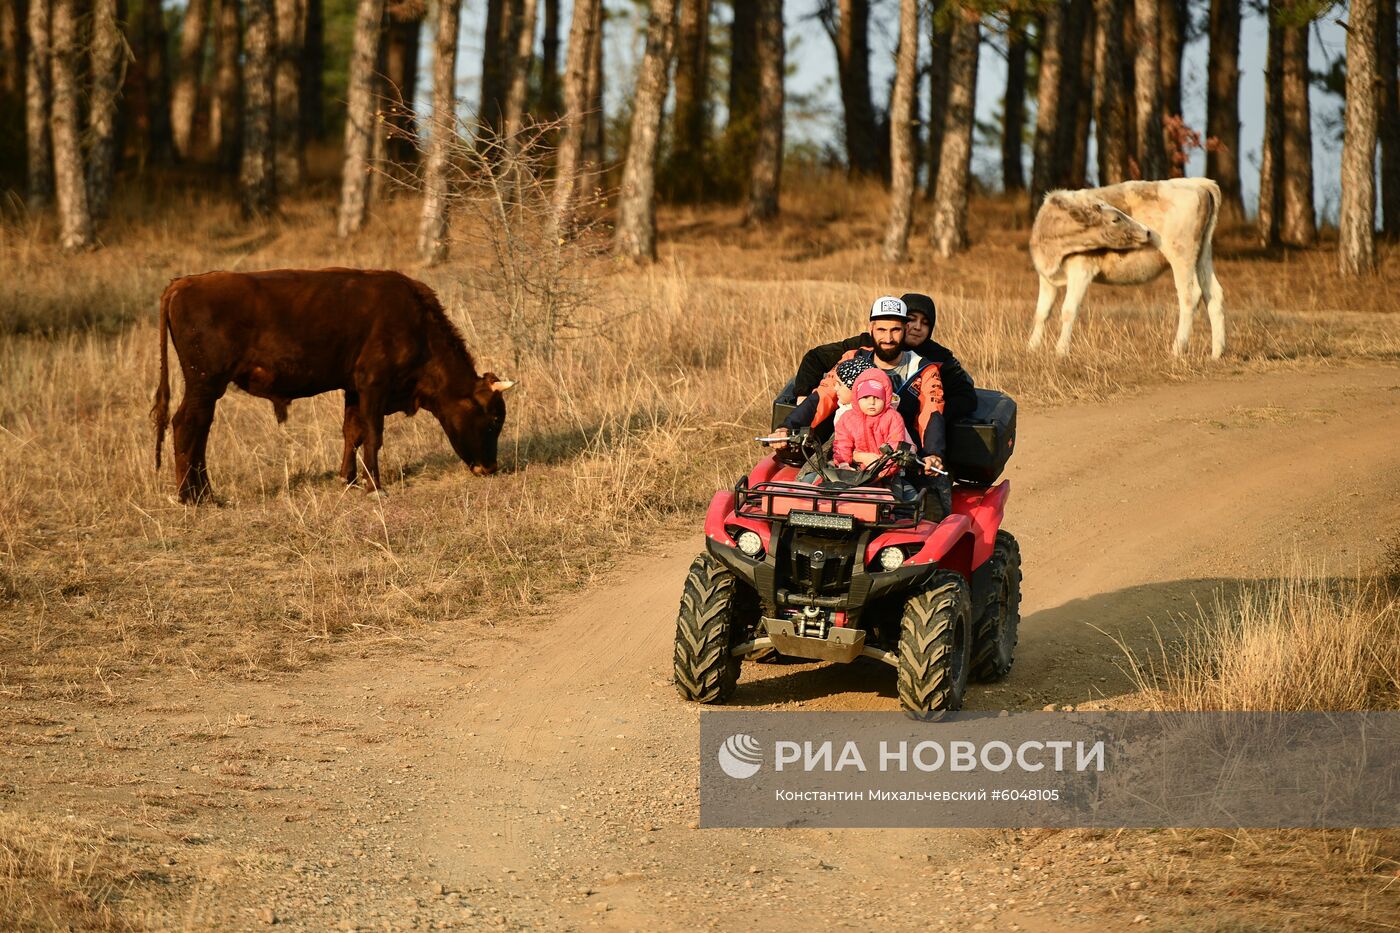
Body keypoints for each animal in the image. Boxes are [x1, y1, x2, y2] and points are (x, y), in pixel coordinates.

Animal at [153, 268, 515, 501]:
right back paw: (192, 496)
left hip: (207, 387)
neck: (416, 323)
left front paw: (348, 480)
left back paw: (204, 492)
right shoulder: (373, 384)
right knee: (188, 425)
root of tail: (183, 283)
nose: (490, 467)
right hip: (205, 383)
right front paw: (375, 487)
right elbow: (373, 435)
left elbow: (352, 432)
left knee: (199, 430)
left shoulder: (353, 388)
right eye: (493, 420)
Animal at [1030, 176, 1226, 357]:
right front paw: (1032, 348)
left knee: (1189, 296)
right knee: (1213, 294)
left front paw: (1061, 351)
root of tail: (1196, 183)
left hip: (1181, 255)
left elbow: (1068, 310)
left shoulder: (1082, 271)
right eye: (1115, 219)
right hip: (1203, 255)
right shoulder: (1046, 277)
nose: (1147, 231)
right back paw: (1216, 353)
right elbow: (1041, 312)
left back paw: (1177, 350)